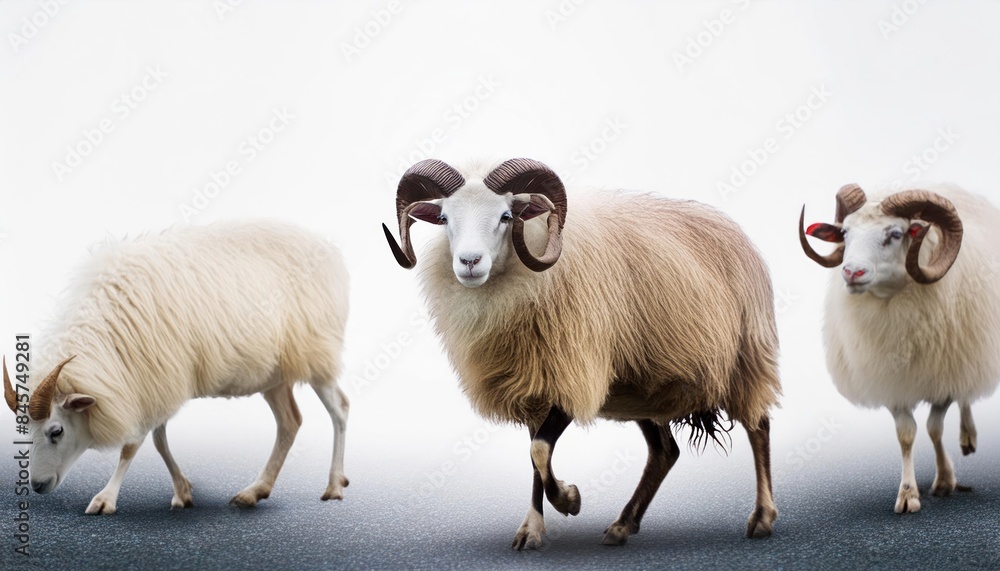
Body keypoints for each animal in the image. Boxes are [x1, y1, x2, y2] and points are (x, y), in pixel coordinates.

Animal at [2, 220, 351, 514]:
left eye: (56, 431)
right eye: (23, 432)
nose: (38, 485)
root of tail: (328, 249)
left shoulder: (156, 378)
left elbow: (132, 446)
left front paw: (105, 498)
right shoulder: (155, 380)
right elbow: (159, 442)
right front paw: (182, 492)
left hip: (317, 353)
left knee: (340, 409)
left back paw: (334, 485)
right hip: (274, 374)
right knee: (290, 422)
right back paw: (254, 491)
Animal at [382, 158, 782, 548]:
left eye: (506, 216)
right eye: (444, 218)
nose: (469, 262)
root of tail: (731, 228)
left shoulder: (571, 375)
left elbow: (540, 450)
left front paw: (569, 499)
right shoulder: (533, 385)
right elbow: (535, 457)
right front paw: (532, 528)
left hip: (746, 357)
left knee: (758, 426)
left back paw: (762, 518)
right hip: (644, 384)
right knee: (665, 452)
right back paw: (623, 525)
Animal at [799, 183, 1000, 513]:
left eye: (895, 233)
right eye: (845, 233)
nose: (851, 272)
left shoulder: (944, 375)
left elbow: (934, 428)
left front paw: (944, 480)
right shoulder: (891, 381)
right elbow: (906, 435)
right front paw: (908, 494)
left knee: (966, 394)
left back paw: (968, 437)